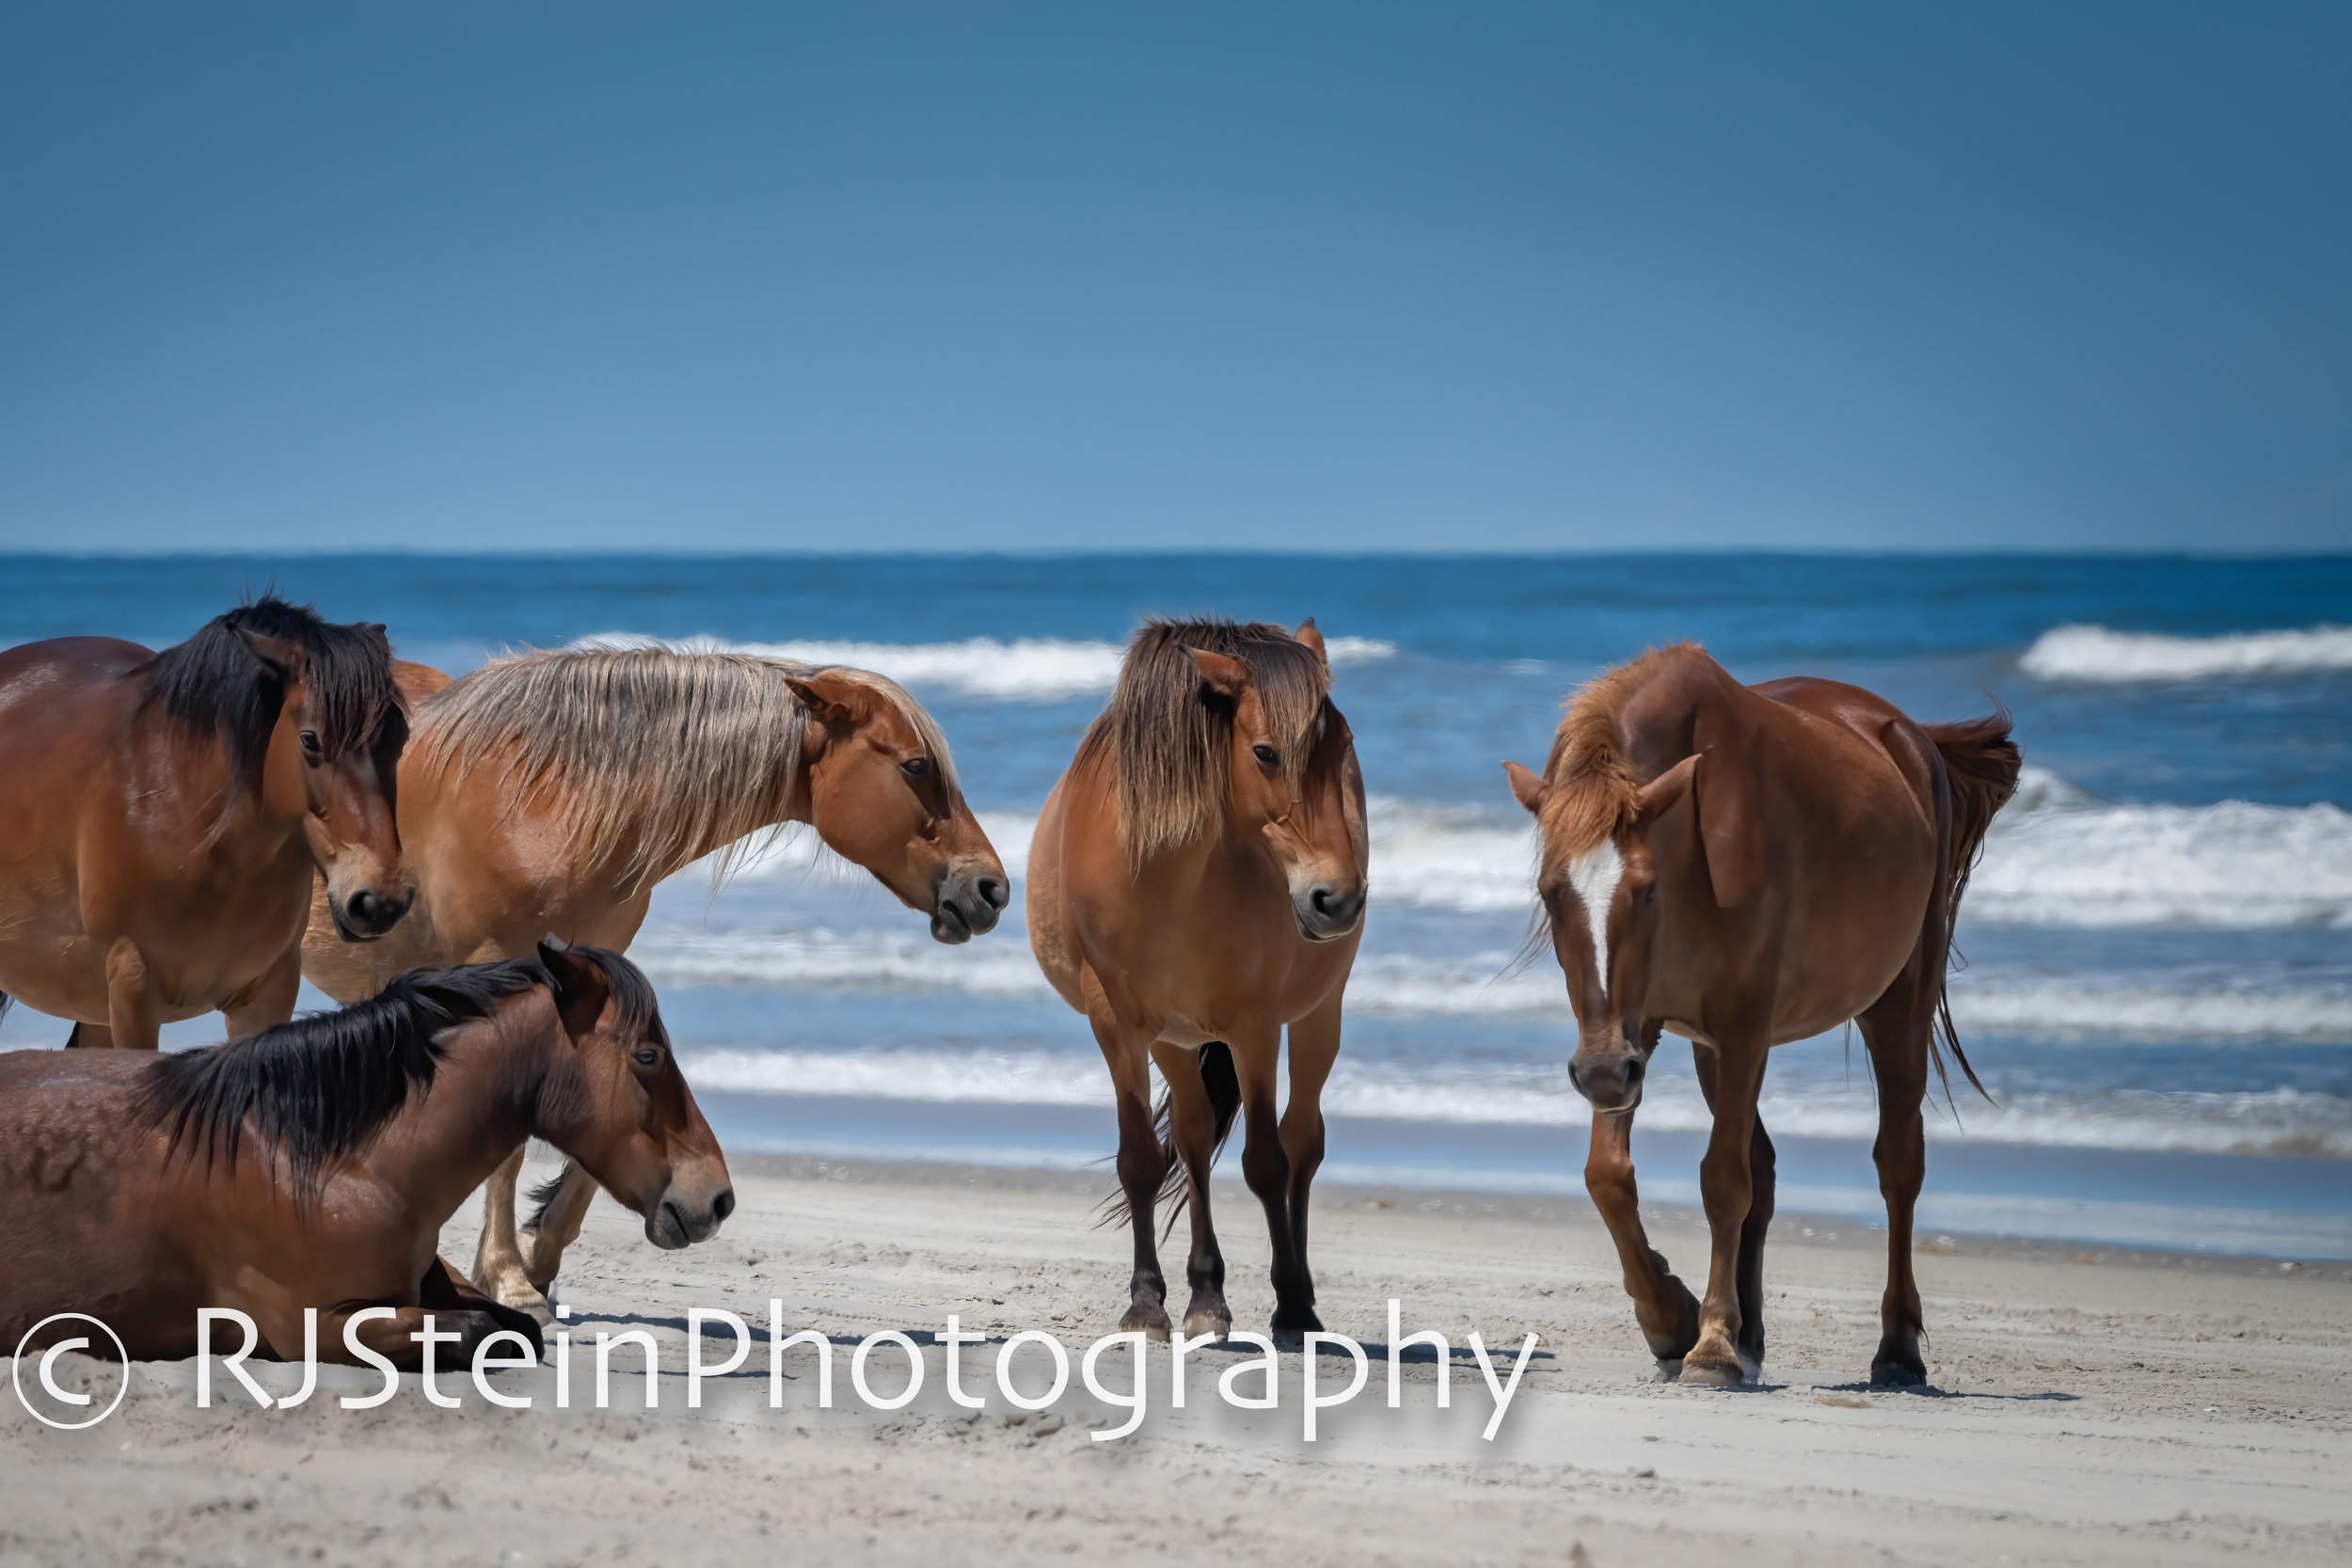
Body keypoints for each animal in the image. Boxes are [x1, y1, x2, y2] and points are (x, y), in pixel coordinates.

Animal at [0, 940, 729, 1363]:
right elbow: (478, 1329)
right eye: (646, 1055)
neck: (326, 1163)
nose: (718, 1198)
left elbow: (510, 1324)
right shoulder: (310, 1326)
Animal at [294, 643, 1002, 1316]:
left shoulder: (592, 968)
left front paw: (536, 1257)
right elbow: (509, 1141)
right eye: (916, 765)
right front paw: (510, 1280)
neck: (547, 803)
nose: (991, 888)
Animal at [1025, 620, 1374, 1344]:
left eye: (1345, 746)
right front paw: (1147, 1303)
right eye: (1265, 752)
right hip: (1174, 1041)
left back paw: (1297, 1296)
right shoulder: (1118, 1026)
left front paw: (1291, 1306)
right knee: (1190, 1139)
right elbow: (1141, 1159)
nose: (1338, 899)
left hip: (1317, 1016)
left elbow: (1267, 1162)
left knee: (1302, 1141)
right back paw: (1206, 1292)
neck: (1167, 878)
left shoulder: (1255, 1028)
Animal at [1505, 643, 2023, 1391]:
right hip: (1707, 1050)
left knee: (1898, 1165)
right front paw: (1671, 1319)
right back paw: (1751, 1336)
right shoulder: (1643, 1027)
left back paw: (1897, 1348)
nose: (1600, 1072)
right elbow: (1609, 1175)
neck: (1696, 832)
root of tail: (1910, 736)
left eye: (1646, 890)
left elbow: (1724, 1180)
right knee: (1766, 1165)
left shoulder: (1742, 1022)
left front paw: (1711, 1345)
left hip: (1894, 1006)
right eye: (1550, 892)